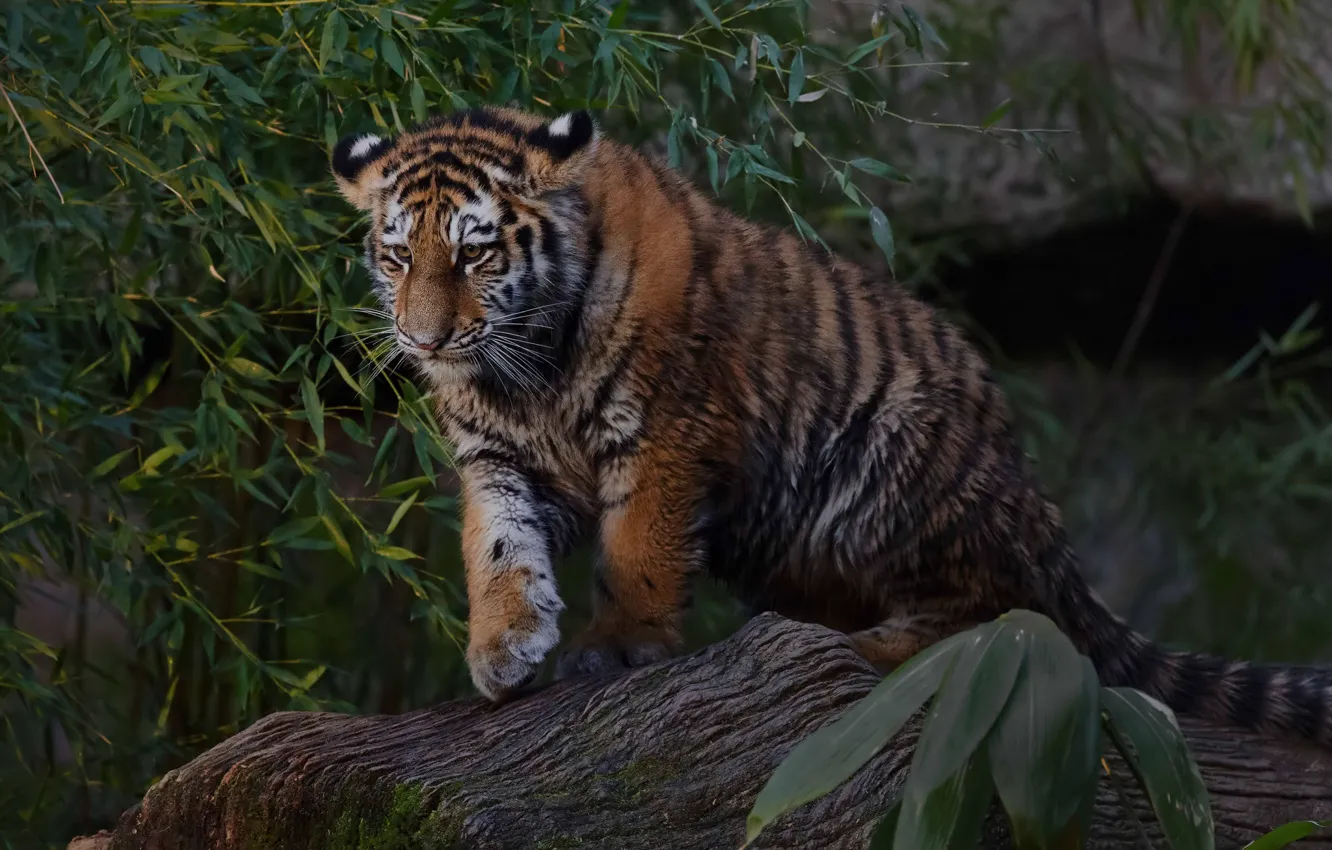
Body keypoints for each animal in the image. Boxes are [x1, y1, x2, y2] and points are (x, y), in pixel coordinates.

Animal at [331, 105, 1330, 744]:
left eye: (475, 253)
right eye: (397, 255)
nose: (424, 338)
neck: (526, 369)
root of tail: (1036, 508)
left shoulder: (666, 431)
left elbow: (638, 549)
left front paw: (617, 648)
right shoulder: (497, 454)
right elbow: (498, 543)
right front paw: (503, 648)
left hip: (896, 462)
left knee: (999, 619)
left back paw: (865, 646)